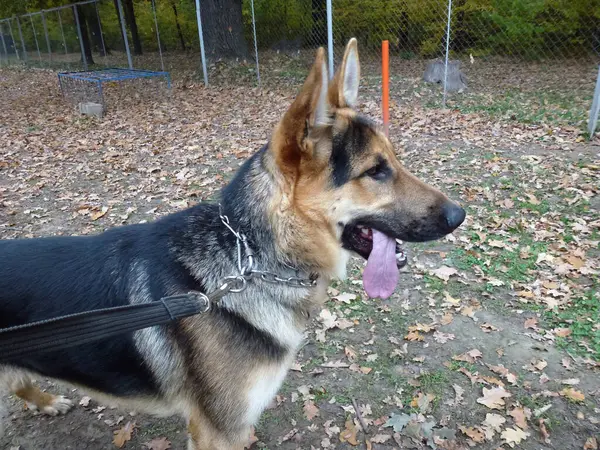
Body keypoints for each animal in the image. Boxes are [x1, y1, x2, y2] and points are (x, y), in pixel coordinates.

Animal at [0, 39, 464, 450]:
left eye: (394, 161)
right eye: (376, 171)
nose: (460, 216)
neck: (251, 259)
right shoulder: (218, 432)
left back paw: (46, 401)